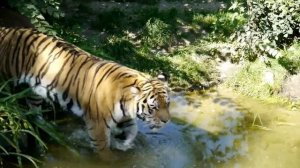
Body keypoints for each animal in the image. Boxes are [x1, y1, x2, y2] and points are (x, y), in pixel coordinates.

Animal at [0, 27, 170, 154]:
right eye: (153, 107)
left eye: (167, 104)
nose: (166, 121)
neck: (126, 102)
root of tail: (8, 30)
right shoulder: (98, 126)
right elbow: (104, 152)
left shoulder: (125, 117)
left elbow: (133, 131)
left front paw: (124, 144)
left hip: (34, 91)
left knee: (34, 110)